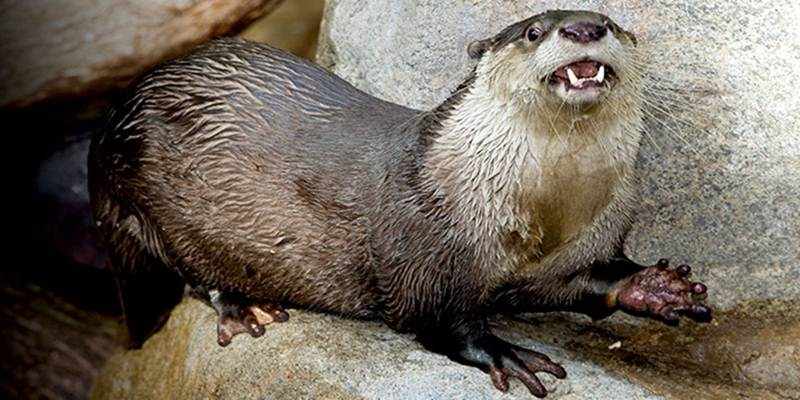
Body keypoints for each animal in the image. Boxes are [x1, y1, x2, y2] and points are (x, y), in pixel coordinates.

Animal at [89, 10, 712, 398]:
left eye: (612, 25)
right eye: (534, 31)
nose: (585, 27)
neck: (546, 213)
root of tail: (115, 123)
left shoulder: (580, 245)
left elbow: (584, 282)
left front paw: (655, 287)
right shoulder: (425, 243)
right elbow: (433, 316)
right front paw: (503, 351)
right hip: (158, 208)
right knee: (190, 273)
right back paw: (244, 308)